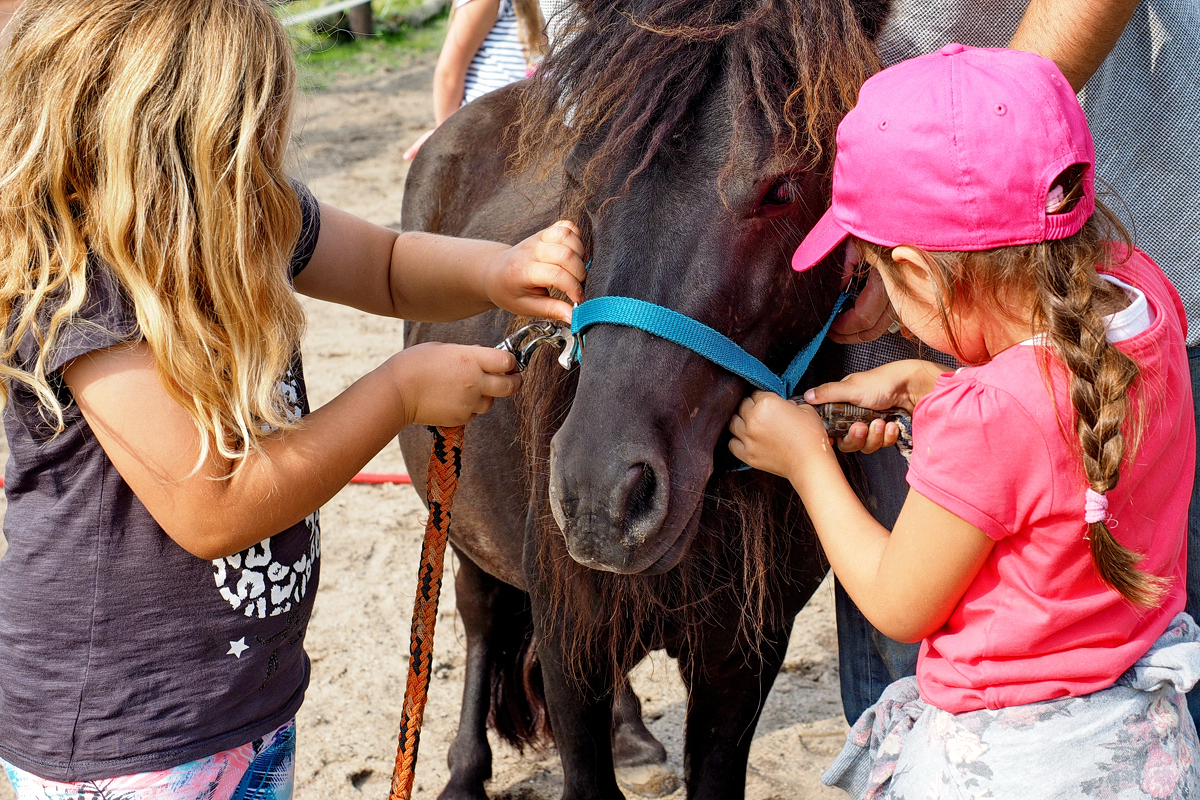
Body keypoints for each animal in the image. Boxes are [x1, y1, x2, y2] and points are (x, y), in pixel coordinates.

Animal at [403, 3, 892, 796]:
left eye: (783, 189)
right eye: (582, 176)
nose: (603, 494)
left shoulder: (742, 660)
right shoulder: (568, 648)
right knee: (479, 621)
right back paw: (464, 771)